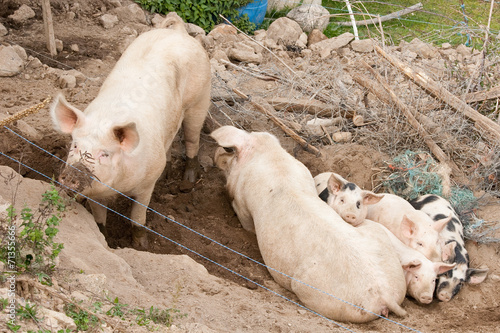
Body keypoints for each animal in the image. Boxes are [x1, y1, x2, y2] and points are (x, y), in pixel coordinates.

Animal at [48, 15, 209, 249]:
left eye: (105, 154)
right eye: (75, 145)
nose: (73, 173)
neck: (118, 187)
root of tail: (178, 32)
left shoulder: (146, 185)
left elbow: (138, 218)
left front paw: (141, 246)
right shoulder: (96, 192)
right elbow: (99, 219)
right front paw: (105, 239)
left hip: (200, 99)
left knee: (192, 139)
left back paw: (186, 182)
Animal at [211, 125, 406, 322]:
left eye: (230, 152)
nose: (215, 157)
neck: (269, 154)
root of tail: (385, 295)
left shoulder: (241, 203)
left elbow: (247, 224)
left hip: (314, 292)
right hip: (376, 234)